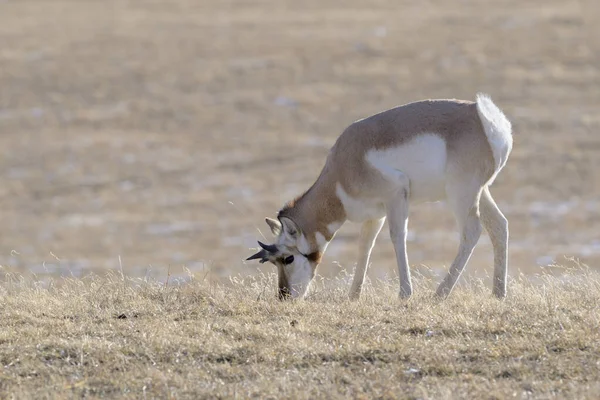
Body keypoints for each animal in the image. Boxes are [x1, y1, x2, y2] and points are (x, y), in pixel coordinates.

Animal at [246, 94, 512, 300]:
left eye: (288, 258)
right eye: (273, 262)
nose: (284, 297)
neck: (342, 168)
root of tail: (484, 117)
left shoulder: (396, 197)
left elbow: (397, 237)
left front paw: (404, 294)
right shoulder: (374, 216)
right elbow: (365, 245)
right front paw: (353, 296)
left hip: (461, 194)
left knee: (472, 231)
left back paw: (439, 294)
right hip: (481, 192)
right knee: (499, 226)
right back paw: (498, 294)